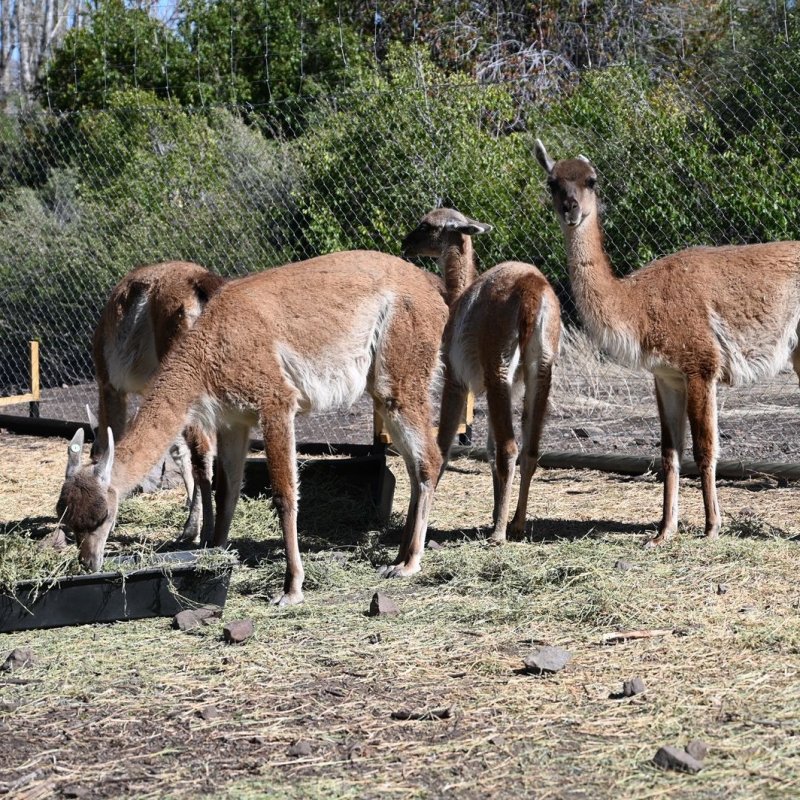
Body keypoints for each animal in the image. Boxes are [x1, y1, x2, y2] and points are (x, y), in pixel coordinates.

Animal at [401, 208, 561, 542]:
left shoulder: (456, 379)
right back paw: (516, 523)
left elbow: (444, 444)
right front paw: (494, 512)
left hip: (497, 366)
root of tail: (532, 287)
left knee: (510, 448)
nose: (405, 243)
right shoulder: (498, 388)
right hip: (541, 369)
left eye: (427, 225)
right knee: (529, 449)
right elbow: (488, 450)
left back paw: (499, 533)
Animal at [535, 138, 800, 546]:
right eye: (553, 183)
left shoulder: (700, 365)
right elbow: (669, 452)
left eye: (591, 180)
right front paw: (663, 532)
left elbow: (705, 448)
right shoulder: (666, 376)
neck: (639, 303)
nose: (571, 208)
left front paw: (711, 527)